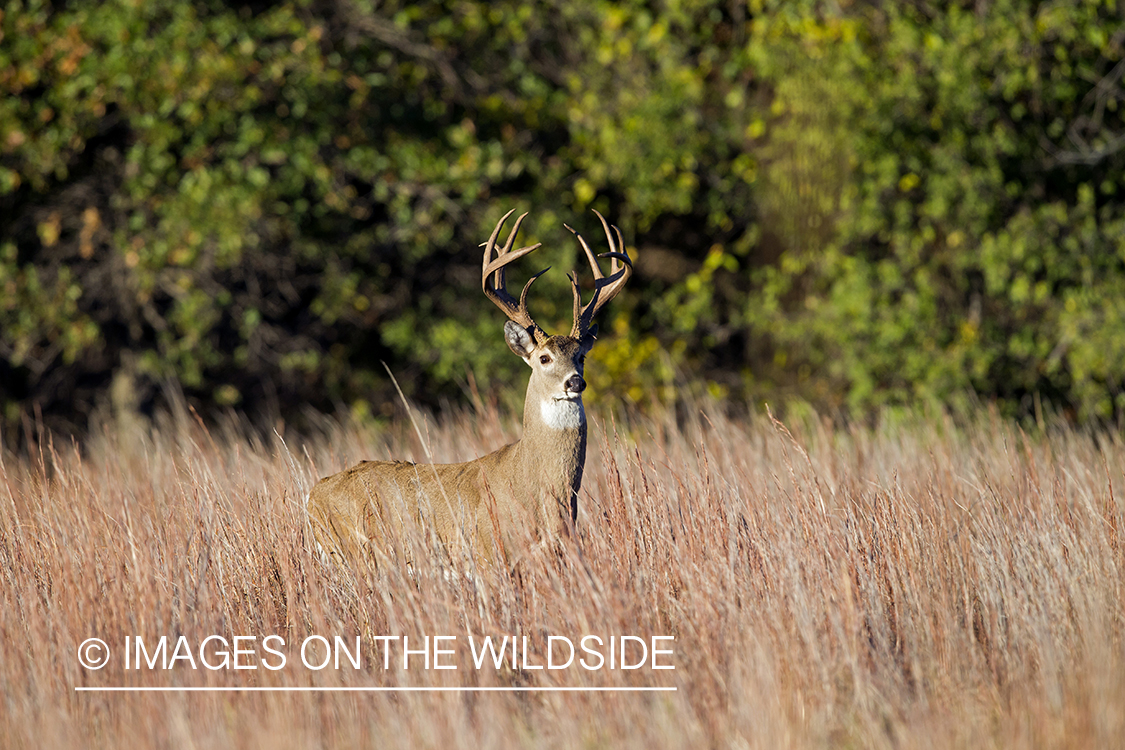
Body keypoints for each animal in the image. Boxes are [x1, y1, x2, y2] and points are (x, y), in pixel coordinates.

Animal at [308, 208, 634, 566]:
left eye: (581, 356)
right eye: (545, 358)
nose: (575, 381)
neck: (539, 492)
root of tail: (313, 495)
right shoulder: (488, 551)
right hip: (355, 551)